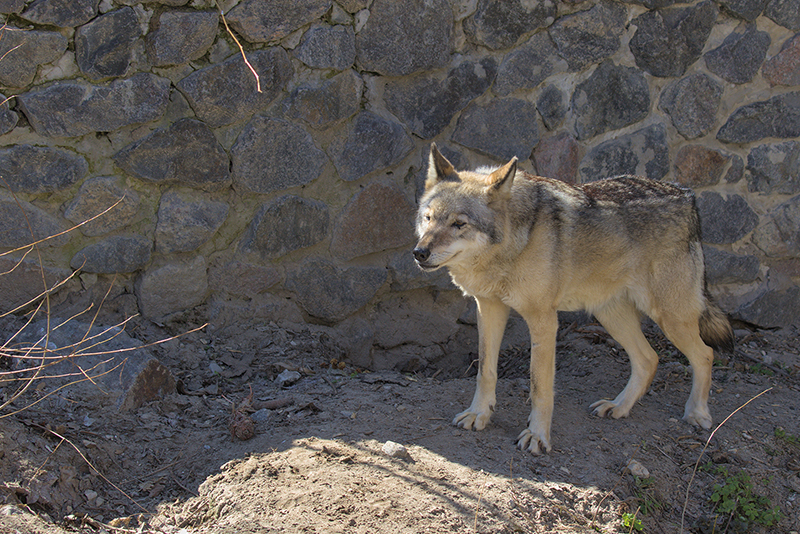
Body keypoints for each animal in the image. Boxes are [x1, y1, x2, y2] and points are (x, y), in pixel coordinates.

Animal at [413, 144, 734, 454]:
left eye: (459, 224)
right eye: (428, 219)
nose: (419, 253)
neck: (514, 243)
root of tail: (687, 194)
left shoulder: (543, 320)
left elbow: (539, 385)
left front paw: (537, 436)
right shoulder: (489, 308)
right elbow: (485, 371)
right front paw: (478, 414)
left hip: (669, 317)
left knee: (705, 354)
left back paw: (697, 413)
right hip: (611, 316)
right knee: (649, 359)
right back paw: (618, 407)